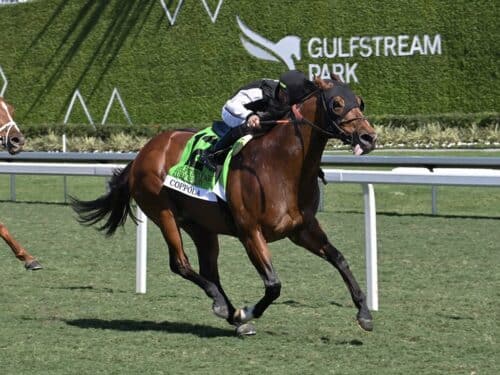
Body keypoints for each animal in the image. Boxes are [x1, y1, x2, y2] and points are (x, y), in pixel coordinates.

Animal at [70, 75, 376, 334]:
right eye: (337, 104)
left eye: (360, 102)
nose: (368, 137)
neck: (280, 165)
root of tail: (141, 154)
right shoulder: (250, 232)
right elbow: (273, 285)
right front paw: (247, 312)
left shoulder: (301, 229)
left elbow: (339, 259)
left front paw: (364, 313)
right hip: (163, 212)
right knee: (181, 264)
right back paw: (225, 308)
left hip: (201, 226)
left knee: (208, 270)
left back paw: (230, 313)